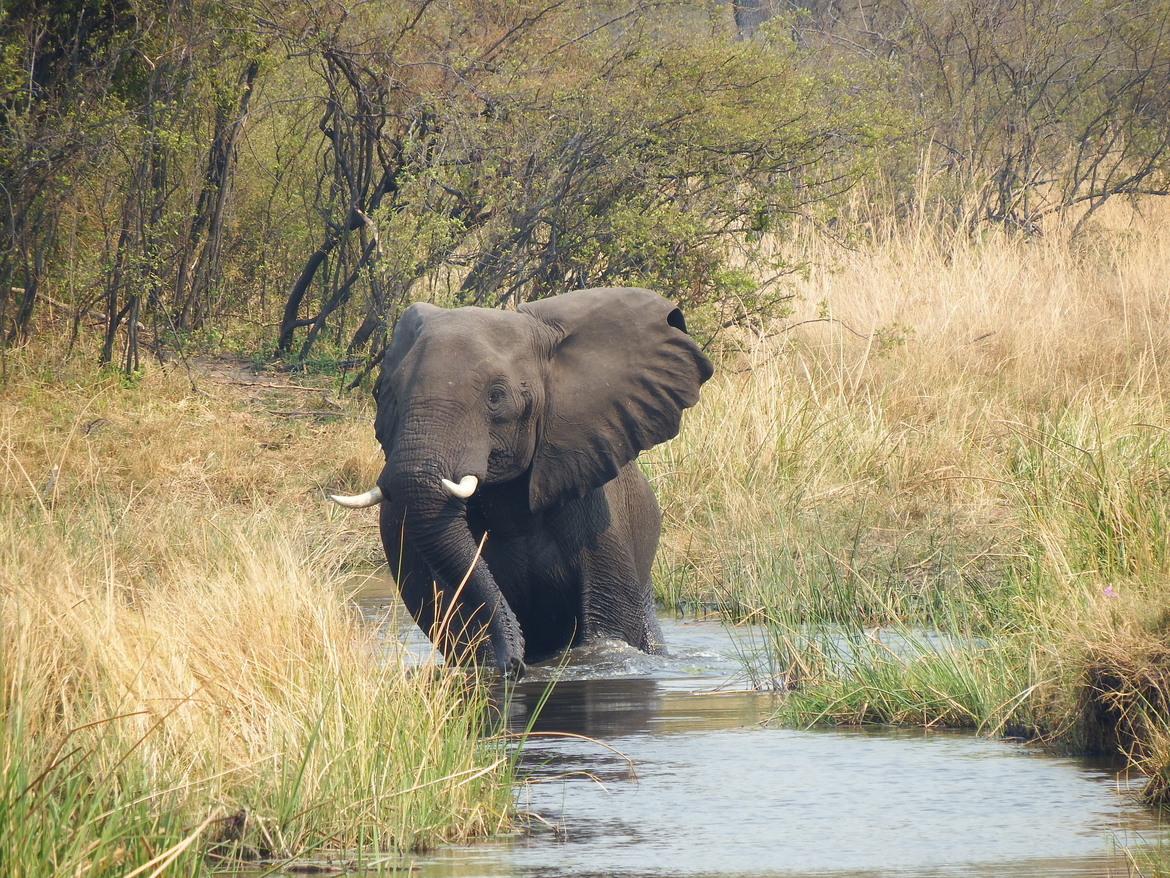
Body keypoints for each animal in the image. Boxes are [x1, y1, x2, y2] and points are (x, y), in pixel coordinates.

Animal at [331, 286, 713, 677]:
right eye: (386, 392)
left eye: (496, 396)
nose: (515, 664)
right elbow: (452, 611)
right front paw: (491, 661)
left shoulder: (598, 512)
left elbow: (610, 629)